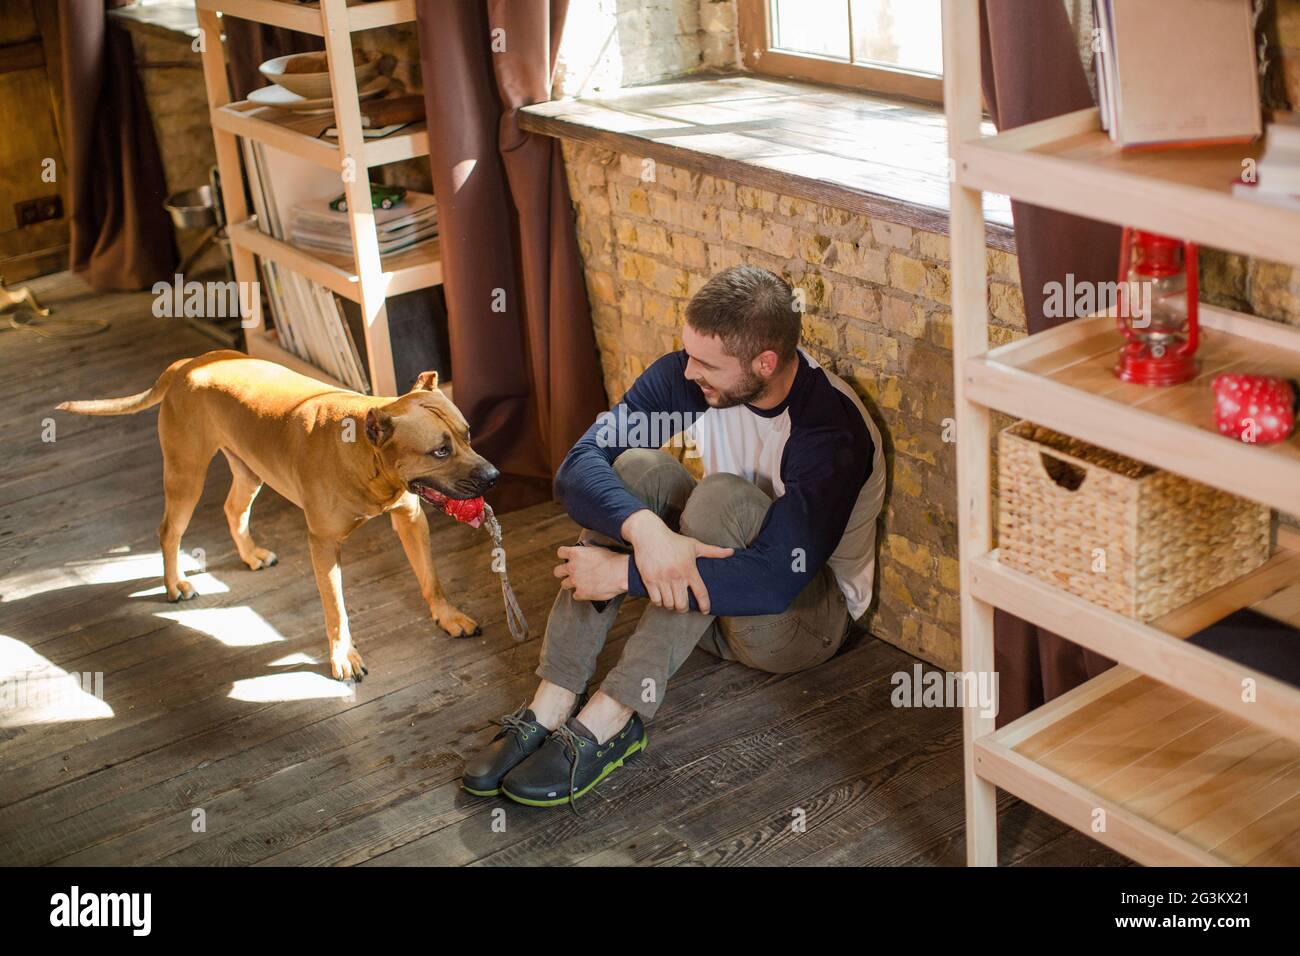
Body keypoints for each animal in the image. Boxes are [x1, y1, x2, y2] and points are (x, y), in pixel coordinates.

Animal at [54, 351, 496, 681]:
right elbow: (336, 609)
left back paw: (250, 554)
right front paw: (343, 656)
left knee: (233, 509)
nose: (493, 477)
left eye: (467, 434)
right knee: (169, 531)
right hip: (186, 475)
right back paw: (175, 583)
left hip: (249, 470)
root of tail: (188, 363)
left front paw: (448, 616)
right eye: (440, 451)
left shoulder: (410, 519)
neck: (364, 453)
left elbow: (430, 578)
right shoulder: (323, 546)